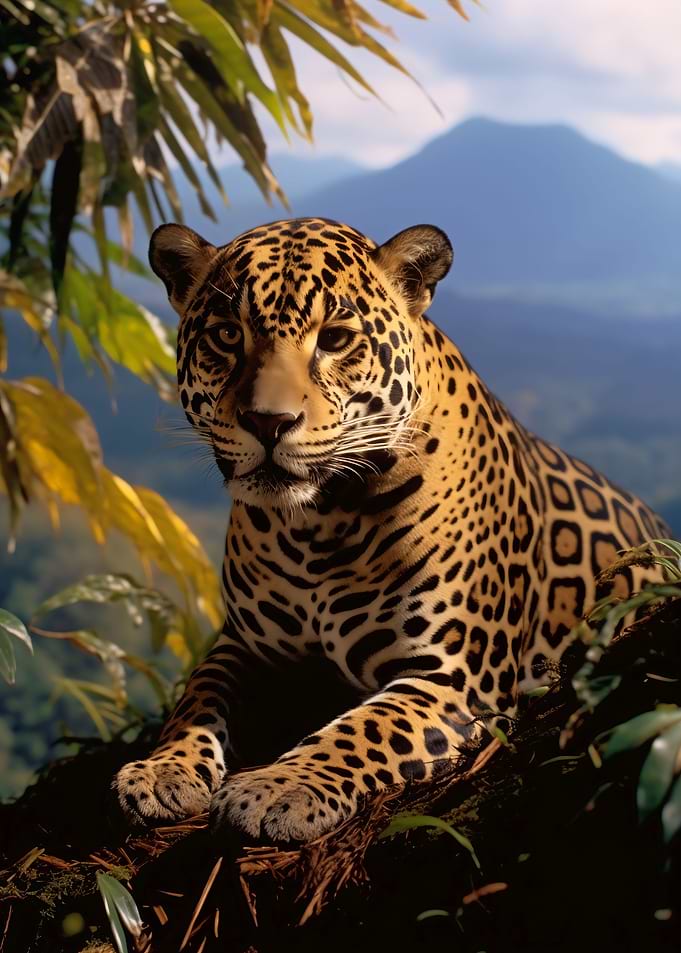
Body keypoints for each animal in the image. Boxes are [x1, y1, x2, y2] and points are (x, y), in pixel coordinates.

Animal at [115, 216, 669, 843]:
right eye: (228, 335)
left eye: (334, 339)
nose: (268, 422)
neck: (314, 526)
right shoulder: (246, 645)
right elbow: (197, 698)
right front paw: (163, 769)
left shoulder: (453, 678)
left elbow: (362, 730)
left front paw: (276, 788)